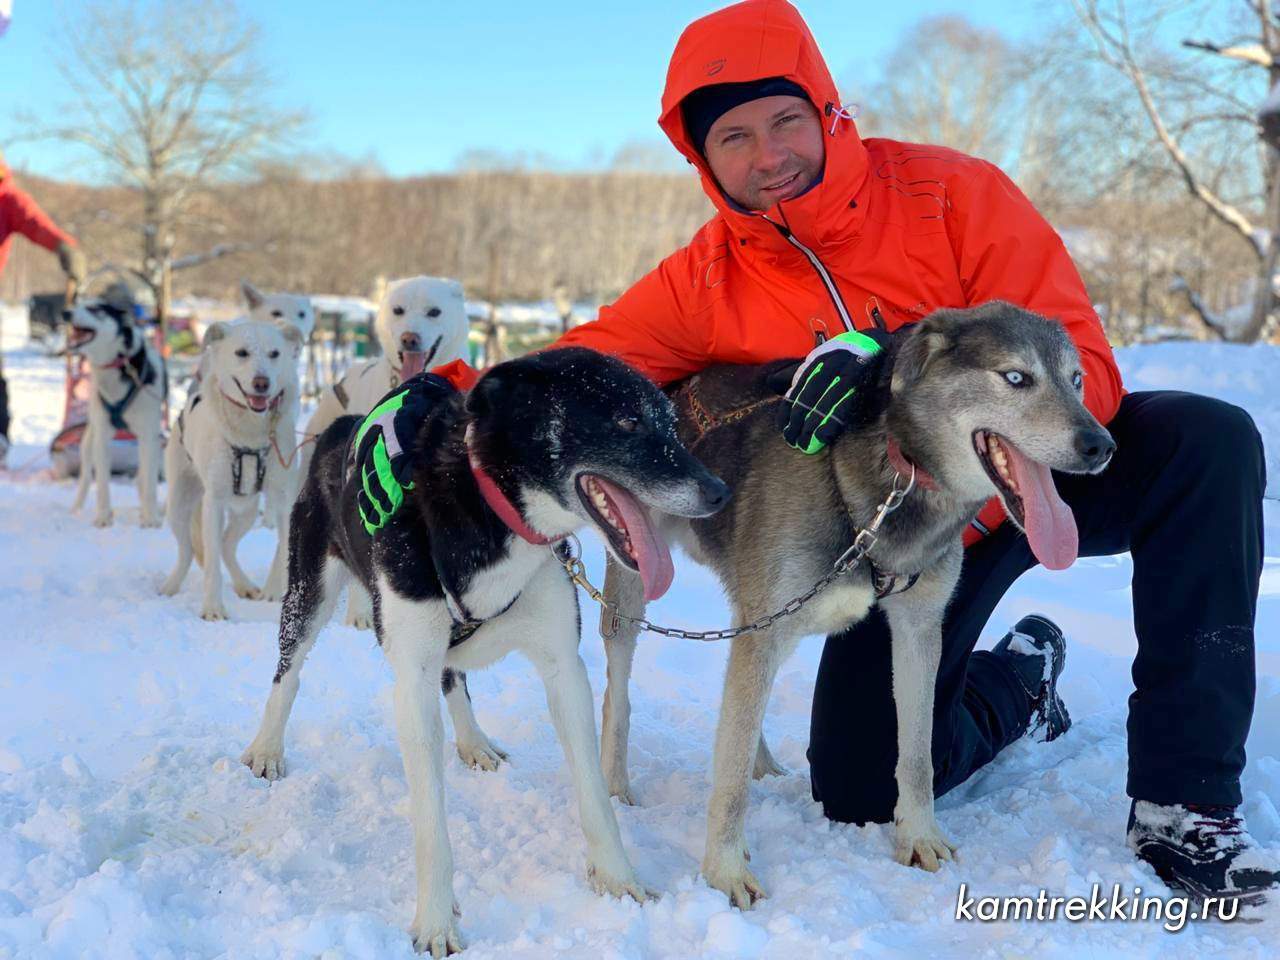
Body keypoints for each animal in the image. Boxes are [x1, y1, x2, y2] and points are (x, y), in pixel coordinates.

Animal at [65, 299, 165, 529]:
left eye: (95, 309)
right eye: (77, 304)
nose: (65, 313)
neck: (118, 364)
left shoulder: (148, 436)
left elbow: (150, 486)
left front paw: (151, 518)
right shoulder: (102, 439)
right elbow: (102, 484)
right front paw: (103, 517)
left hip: (153, 444)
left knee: (144, 477)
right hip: (89, 443)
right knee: (86, 478)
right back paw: (75, 509)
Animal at [160, 320, 304, 619]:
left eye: (274, 354)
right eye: (242, 353)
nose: (262, 383)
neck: (250, 433)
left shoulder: (283, 499)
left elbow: (285, 548)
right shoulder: (213, 502)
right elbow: (212, 564)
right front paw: (213, 608)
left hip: (245, 512)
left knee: (227, 545)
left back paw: (245, 585)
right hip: (179, 506)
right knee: (188, 551)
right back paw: (171, 585)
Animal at [240, 345, 732, 957]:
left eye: (670, 424)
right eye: (627, 422)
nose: (719, 492)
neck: (492, 512)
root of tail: (339, 427)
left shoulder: (563, 668)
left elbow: (595, 795)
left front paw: (619, 879)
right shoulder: (412, 678)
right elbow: (432, 824)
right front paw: (435, 922)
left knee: (455, 678)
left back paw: (473, 741)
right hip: (308, 595)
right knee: (288, 671)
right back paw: (266, 747)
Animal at [593, 302, 1116, 911]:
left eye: (1076, 380)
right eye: (1015, 377)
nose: (1100, 444)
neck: (889, 478)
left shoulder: (918, 629)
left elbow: (916, 755)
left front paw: (919, 836)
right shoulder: (766, 630)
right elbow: (728, 779)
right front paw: (724, 871)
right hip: (634, 588)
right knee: (620, 690)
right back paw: (616, 784)